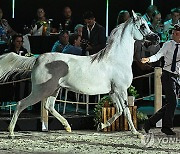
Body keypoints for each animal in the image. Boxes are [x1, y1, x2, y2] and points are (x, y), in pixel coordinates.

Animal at [0, 11, 159, 138]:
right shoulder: (121, 90)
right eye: (143, 26)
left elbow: (120, 110)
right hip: (40, 91)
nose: (157, 38)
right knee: (21, 104)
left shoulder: (113, 91)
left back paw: (68, 127)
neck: (116, 59)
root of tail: (38, 58)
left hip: (53, 90)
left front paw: (101, 126)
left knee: (49, 106)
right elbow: (126, 111)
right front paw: (136, 133)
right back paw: (11, 132)